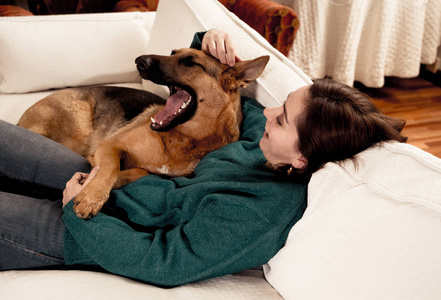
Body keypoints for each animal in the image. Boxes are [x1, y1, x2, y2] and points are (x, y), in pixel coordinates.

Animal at [18, 48, 268, 218]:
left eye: (190, 62)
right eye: (172, 52)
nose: (139, 60)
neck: (183, 138)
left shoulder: (153, 171)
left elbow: (139, 172)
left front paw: (95, 184)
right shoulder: (109, 146)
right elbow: (110, 168)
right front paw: (92, 197)